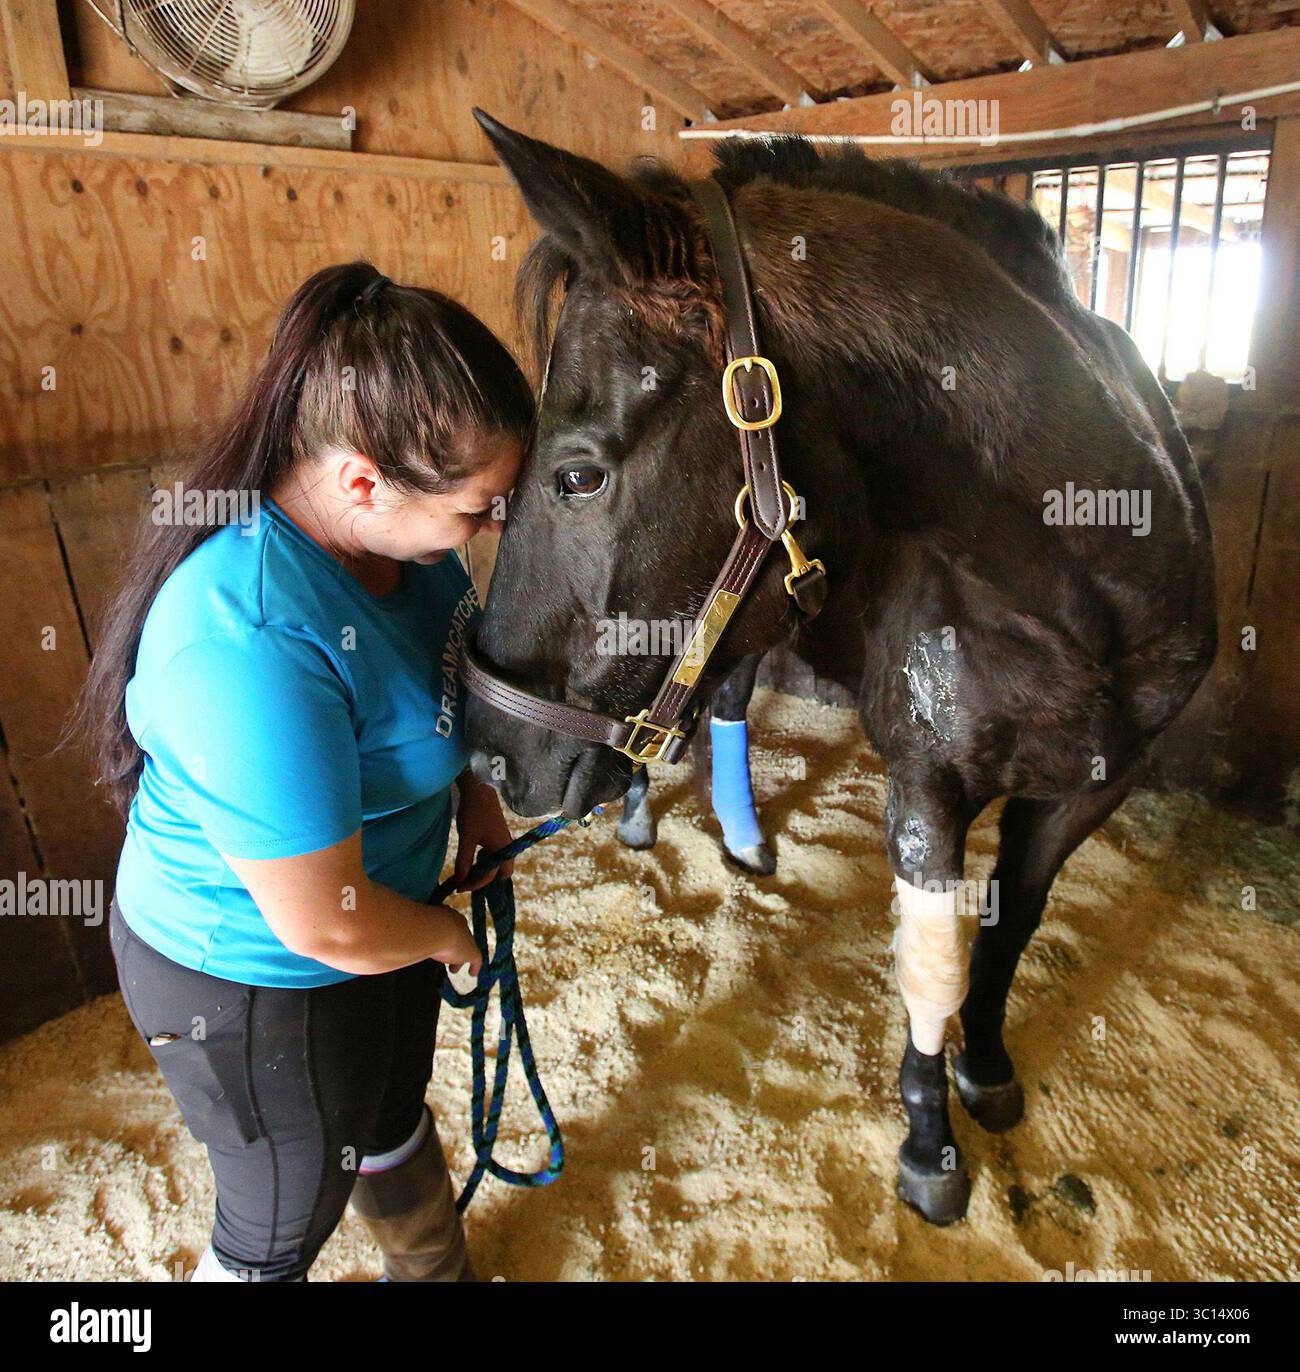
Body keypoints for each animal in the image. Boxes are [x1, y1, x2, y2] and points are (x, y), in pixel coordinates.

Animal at [463, 111, 1217, 1226]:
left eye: (578, 474)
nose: (491, 753)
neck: (1079, 584)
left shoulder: (1096, 782)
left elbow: (1013, 927)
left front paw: (987, 1069)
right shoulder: (929, 787)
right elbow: (932, 971)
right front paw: (929, 1145)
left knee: (723, 707)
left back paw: (738, 838)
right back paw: (647, 820)